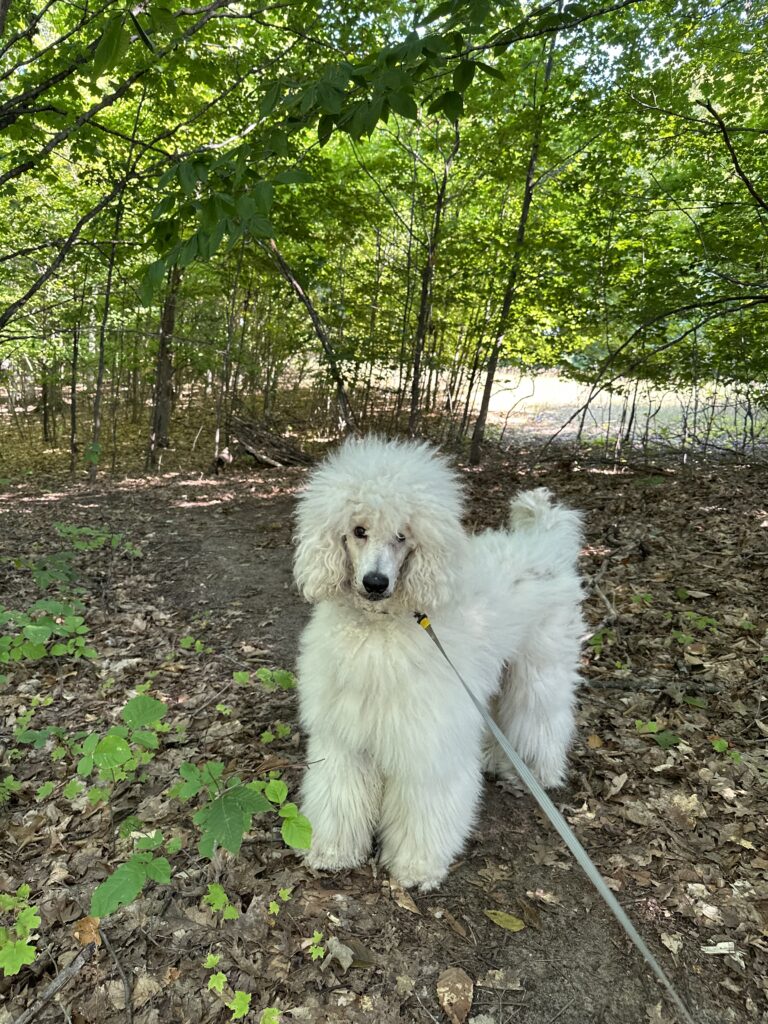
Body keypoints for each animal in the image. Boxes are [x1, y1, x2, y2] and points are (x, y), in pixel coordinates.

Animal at [293, 436, 584, 891]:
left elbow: (424, 806)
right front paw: (333, 851)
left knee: (542, 715)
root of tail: (544, 543)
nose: (375, 583)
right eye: (359, 531)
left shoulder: (428, 743)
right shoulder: (345, 737)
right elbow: (338, 793)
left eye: (402, 536)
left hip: (540, 667)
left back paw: (539, 772)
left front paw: (416, 867)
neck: (381, 627)